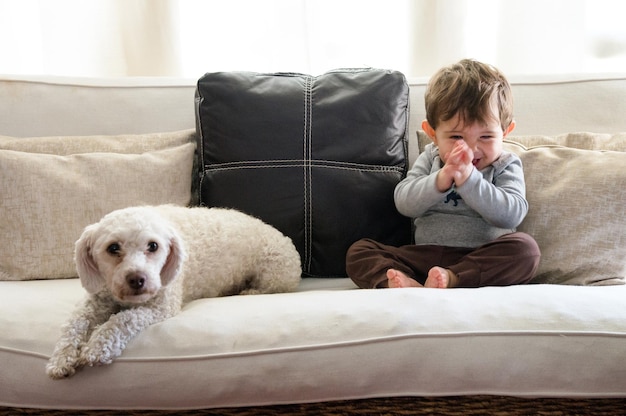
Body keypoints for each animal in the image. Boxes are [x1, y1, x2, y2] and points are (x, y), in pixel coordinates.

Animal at [45, 203, 300, 378]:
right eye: (113, 248)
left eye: (153, 246)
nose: (137, 279)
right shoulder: (96, 300)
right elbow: (74, 323)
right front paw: (61, 357)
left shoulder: (161, 306)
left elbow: (122, 319)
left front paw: (98, 346)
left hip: (273, 274)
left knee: (267, 288)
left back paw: (246, 292)